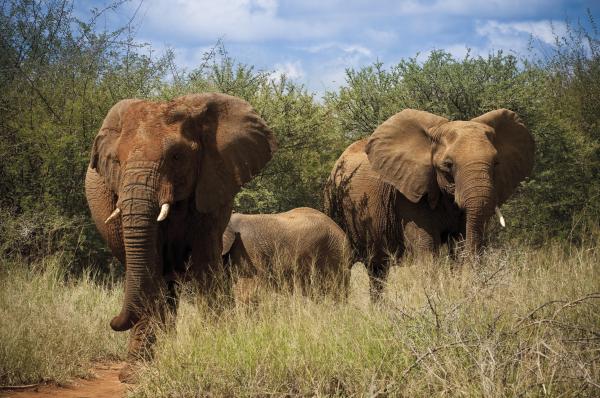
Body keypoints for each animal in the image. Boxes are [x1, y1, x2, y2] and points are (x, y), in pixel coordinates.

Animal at [84, 91, 276, 380]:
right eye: (116, 161)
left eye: (176, 156)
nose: (113, 321)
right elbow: (151, 266)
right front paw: (135, 374)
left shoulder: (213, 182)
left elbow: (207, 263)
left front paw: (217, 352)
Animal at [326, 109, 536, 298]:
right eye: (448, 165)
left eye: (496, 163)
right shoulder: (408, 195)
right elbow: (427, 249)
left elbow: (459, 244)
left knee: (378, 270)